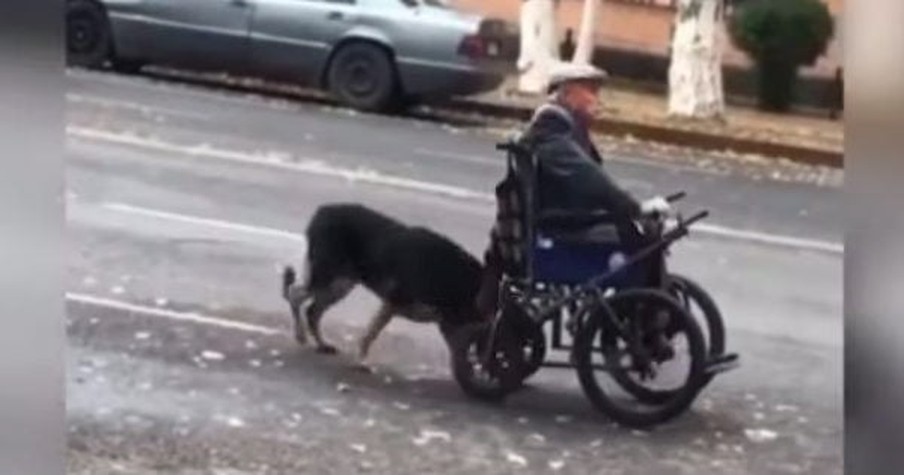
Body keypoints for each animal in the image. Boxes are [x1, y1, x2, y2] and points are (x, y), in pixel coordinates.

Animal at [280, 205, 484, 368]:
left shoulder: (451, 326)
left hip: (340, 285)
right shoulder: (392, 303)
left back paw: (321, 344)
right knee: (294, 294)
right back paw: (300, 335)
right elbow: (370, 334)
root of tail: (321, 212)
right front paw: (361, 360)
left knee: (312, 311)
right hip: (327, 277)